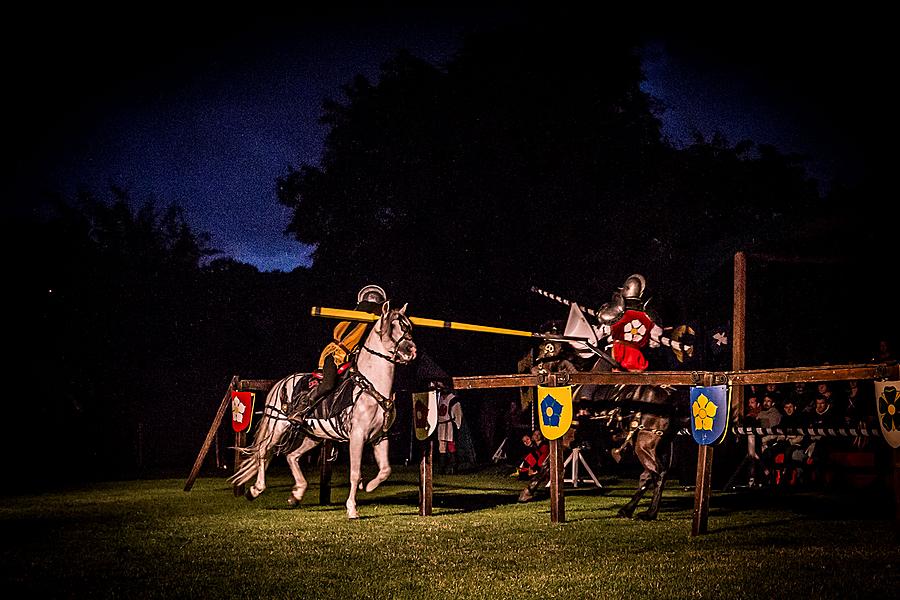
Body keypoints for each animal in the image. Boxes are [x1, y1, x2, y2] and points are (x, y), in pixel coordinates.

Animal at [230, 302, 416, 516]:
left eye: (408, 326)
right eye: (392, 326)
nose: (411, 350)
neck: (371, 386)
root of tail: (281, 383)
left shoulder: (380, 437)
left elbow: (385, 470)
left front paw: (368, 486)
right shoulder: (357, 436)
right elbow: (355, 473)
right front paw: (352, 508)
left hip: (312, 435)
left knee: (292, 456)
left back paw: (297, 494)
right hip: (277, 426)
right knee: (263, 450)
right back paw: (256, 489)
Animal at [516, 338, 680, 520]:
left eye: (545, 352)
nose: (531, 368)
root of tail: (669, 398)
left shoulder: (567, 439)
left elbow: (546, 464)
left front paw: (527, 492)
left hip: (644, 444)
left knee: (657, 473)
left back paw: (649, 512)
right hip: (659, 446)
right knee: (649, 476)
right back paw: (628, 509)